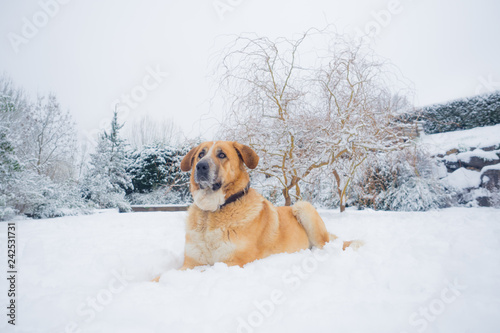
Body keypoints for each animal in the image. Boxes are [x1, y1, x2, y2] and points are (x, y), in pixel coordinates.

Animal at [152, 141, 360, 280]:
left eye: (222, 155)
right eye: (200, 154)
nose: (200, 166)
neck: (212, 212)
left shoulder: (233, 262)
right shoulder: (191, 263)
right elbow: (163, 275)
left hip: (303, 207)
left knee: (326, 244)